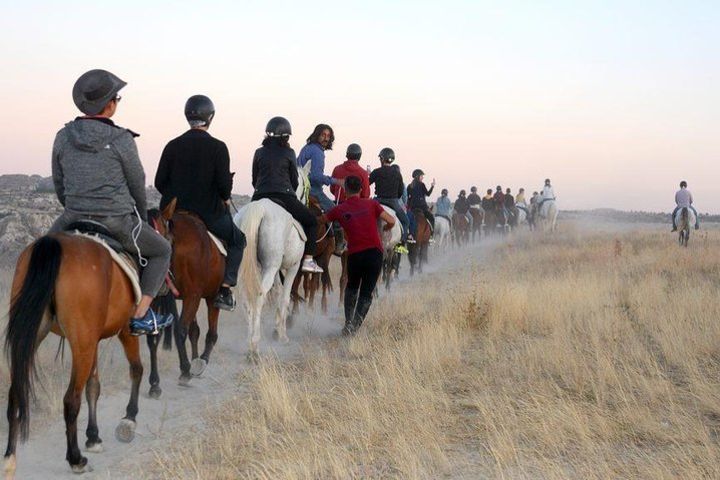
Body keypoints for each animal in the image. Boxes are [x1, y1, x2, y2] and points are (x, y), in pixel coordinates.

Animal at [4, 233, 143, 476]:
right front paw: (129, 419)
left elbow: (93, 387)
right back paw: (76, 459)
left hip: (36, 334)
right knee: (70, 399)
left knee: (15, 395)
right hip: (82, 343)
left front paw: (93, 437)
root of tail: (53, 243)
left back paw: (10, 459)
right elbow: (135, 369)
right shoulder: (126, 330)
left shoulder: (93, 340)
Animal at [148, 201, 224, 388]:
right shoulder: (198, 296)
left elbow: (185, 331)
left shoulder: (191, 296)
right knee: (193, 331)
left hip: (199, 297)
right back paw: (194, 364)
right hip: (201, 297)